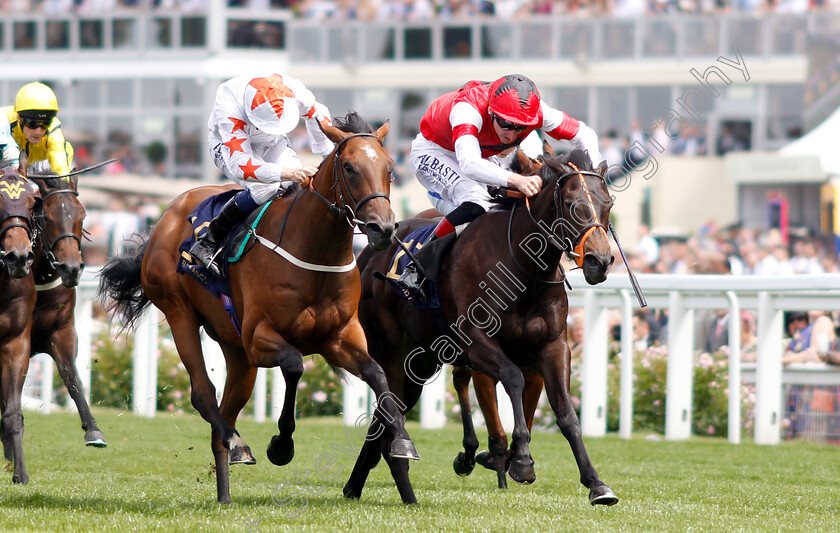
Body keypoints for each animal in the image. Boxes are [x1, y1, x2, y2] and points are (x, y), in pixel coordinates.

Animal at [26, 169, 106, 444]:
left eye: (82, 216)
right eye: (48, 218)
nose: (70, 268)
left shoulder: (61, 332)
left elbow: (72, 377)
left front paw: (93, 429)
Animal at [99, 113, 420, 502]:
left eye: (390, 167)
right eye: (349, 167)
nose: (383, 228)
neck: (315, 253)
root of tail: (168, 214)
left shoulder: (339, 339)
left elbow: (379, 376)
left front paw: (403, 440)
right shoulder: (259, 337)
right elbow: (294, 365)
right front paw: (281, 445)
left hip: (235, 350)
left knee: (223, 417)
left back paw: (225, 494)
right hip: (180, 313)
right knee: (203, 394)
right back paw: (239, 445)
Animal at [346, 149, 616, 502]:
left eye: (608, 202)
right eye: (572, 204)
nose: (601, 261)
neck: (521, 269)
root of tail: (369, 254)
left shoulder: (553, 346)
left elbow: (566, 413)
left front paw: (596, 482)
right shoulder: (476, 343)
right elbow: (513, 378)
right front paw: (522, 461)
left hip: (420, 362)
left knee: (388, 411)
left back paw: (357, 483)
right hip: (390, 350)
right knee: (389, 404)